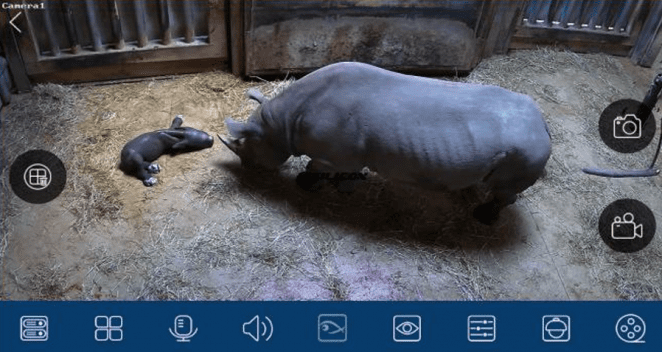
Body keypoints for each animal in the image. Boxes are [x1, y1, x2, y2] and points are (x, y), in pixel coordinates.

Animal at [220, 62, 552, 224]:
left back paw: (483, 218)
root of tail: (544, 126)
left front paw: (306, 185)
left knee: (505, 189)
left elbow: (315, 167)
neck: (280, 125)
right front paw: (347, 186)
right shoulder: (347, 155)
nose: (248, 169)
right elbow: (345, 171)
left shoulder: (332, 154)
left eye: (245, 150)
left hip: (526, 152)